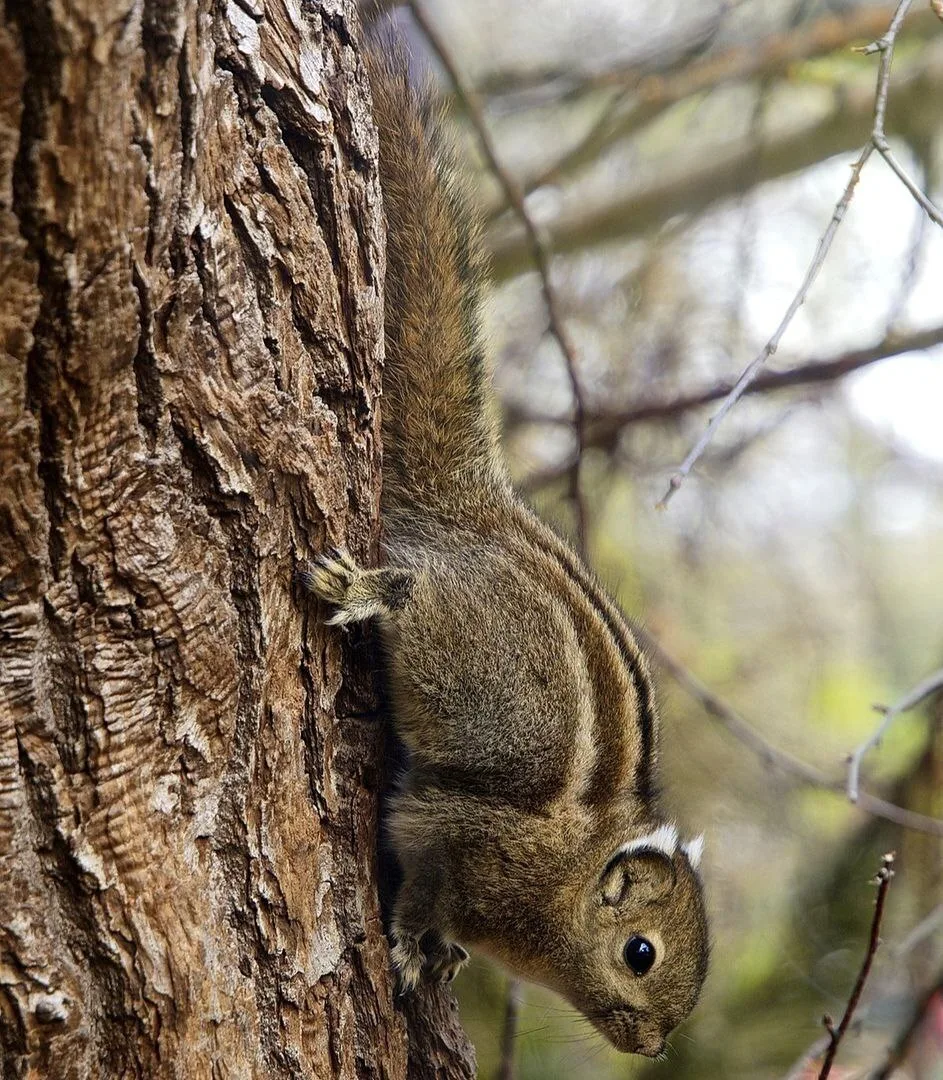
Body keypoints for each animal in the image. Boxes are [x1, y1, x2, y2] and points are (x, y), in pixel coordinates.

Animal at [300, 42, 710, 1059]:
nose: (652, 1048)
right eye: (639, 953)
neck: (566, 874)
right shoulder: (463, 844)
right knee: (412, 593)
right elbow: (426, 886)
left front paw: (439, 953)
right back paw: (369, 591)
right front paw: (416, 946)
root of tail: (471, 516)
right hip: (458, 638)